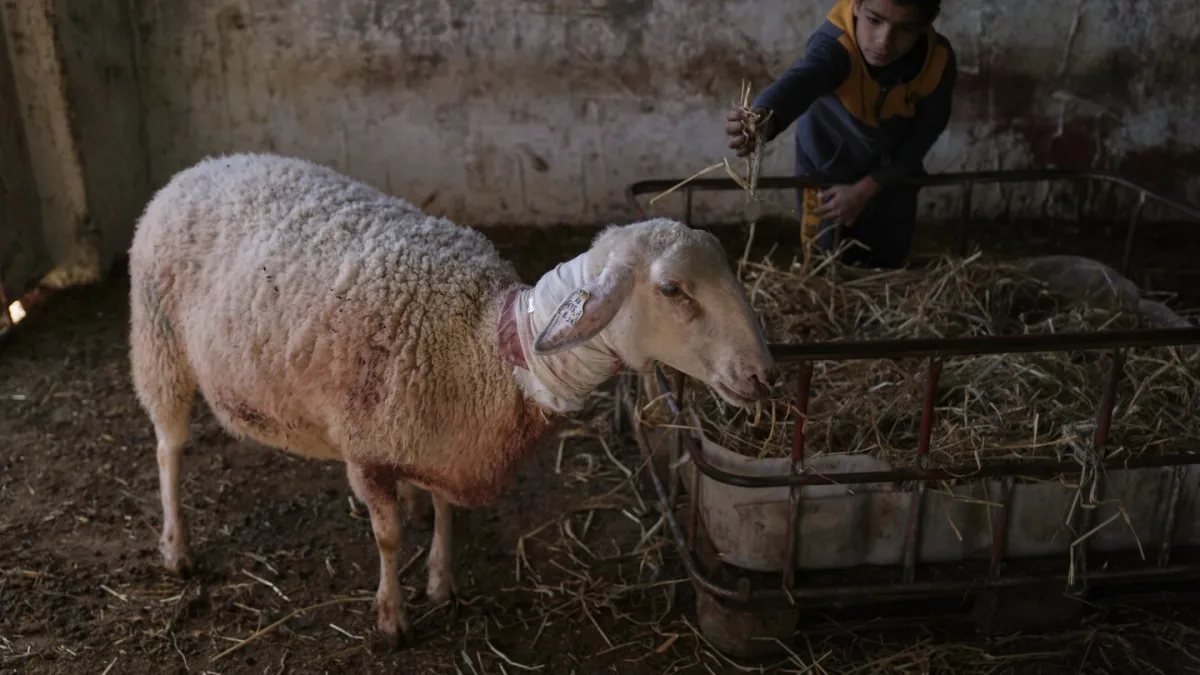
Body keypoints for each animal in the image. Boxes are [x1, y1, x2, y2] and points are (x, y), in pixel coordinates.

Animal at [127, 152, 777, 647]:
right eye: (673, 290)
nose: (763, 375)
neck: (485, 346)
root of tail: (202, 167)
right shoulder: (366, 451)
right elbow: (387, 538)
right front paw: (393, 617)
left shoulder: (449, 441)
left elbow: (446, 512)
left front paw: (442, 580)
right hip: (159, 344)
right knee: (167, 448)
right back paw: (177, 547)